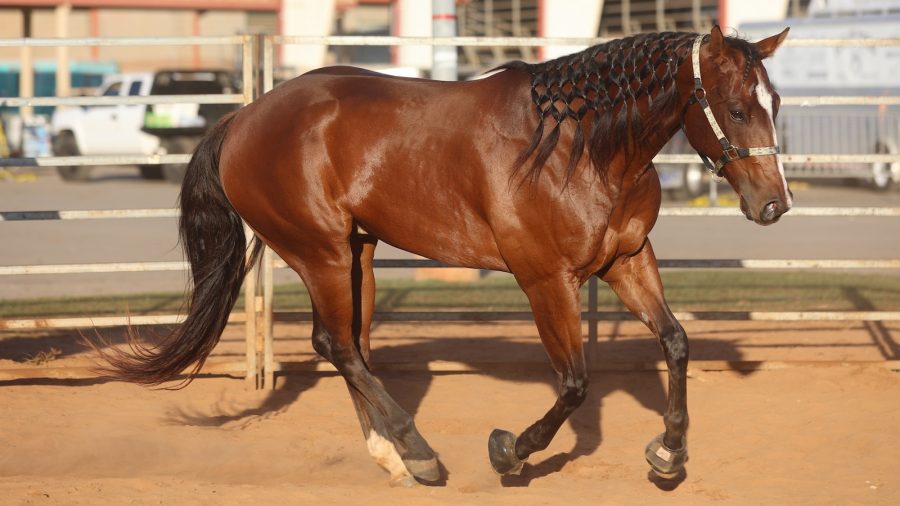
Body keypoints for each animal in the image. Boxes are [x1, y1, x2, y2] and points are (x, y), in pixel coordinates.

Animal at [95, 25, 791, 486]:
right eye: (736, 108)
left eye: (775, 104)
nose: (774, 205)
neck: (578, 147)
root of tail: (241, 119)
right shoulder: (545, 280)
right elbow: (573, 383)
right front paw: (511, 451)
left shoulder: (627, 260)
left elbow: (675, 342)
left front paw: (669, 455)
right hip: (320, 252)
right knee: (337, 345)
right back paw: (420, 453)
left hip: (359, 253)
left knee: (351, 347)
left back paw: (393, 456)